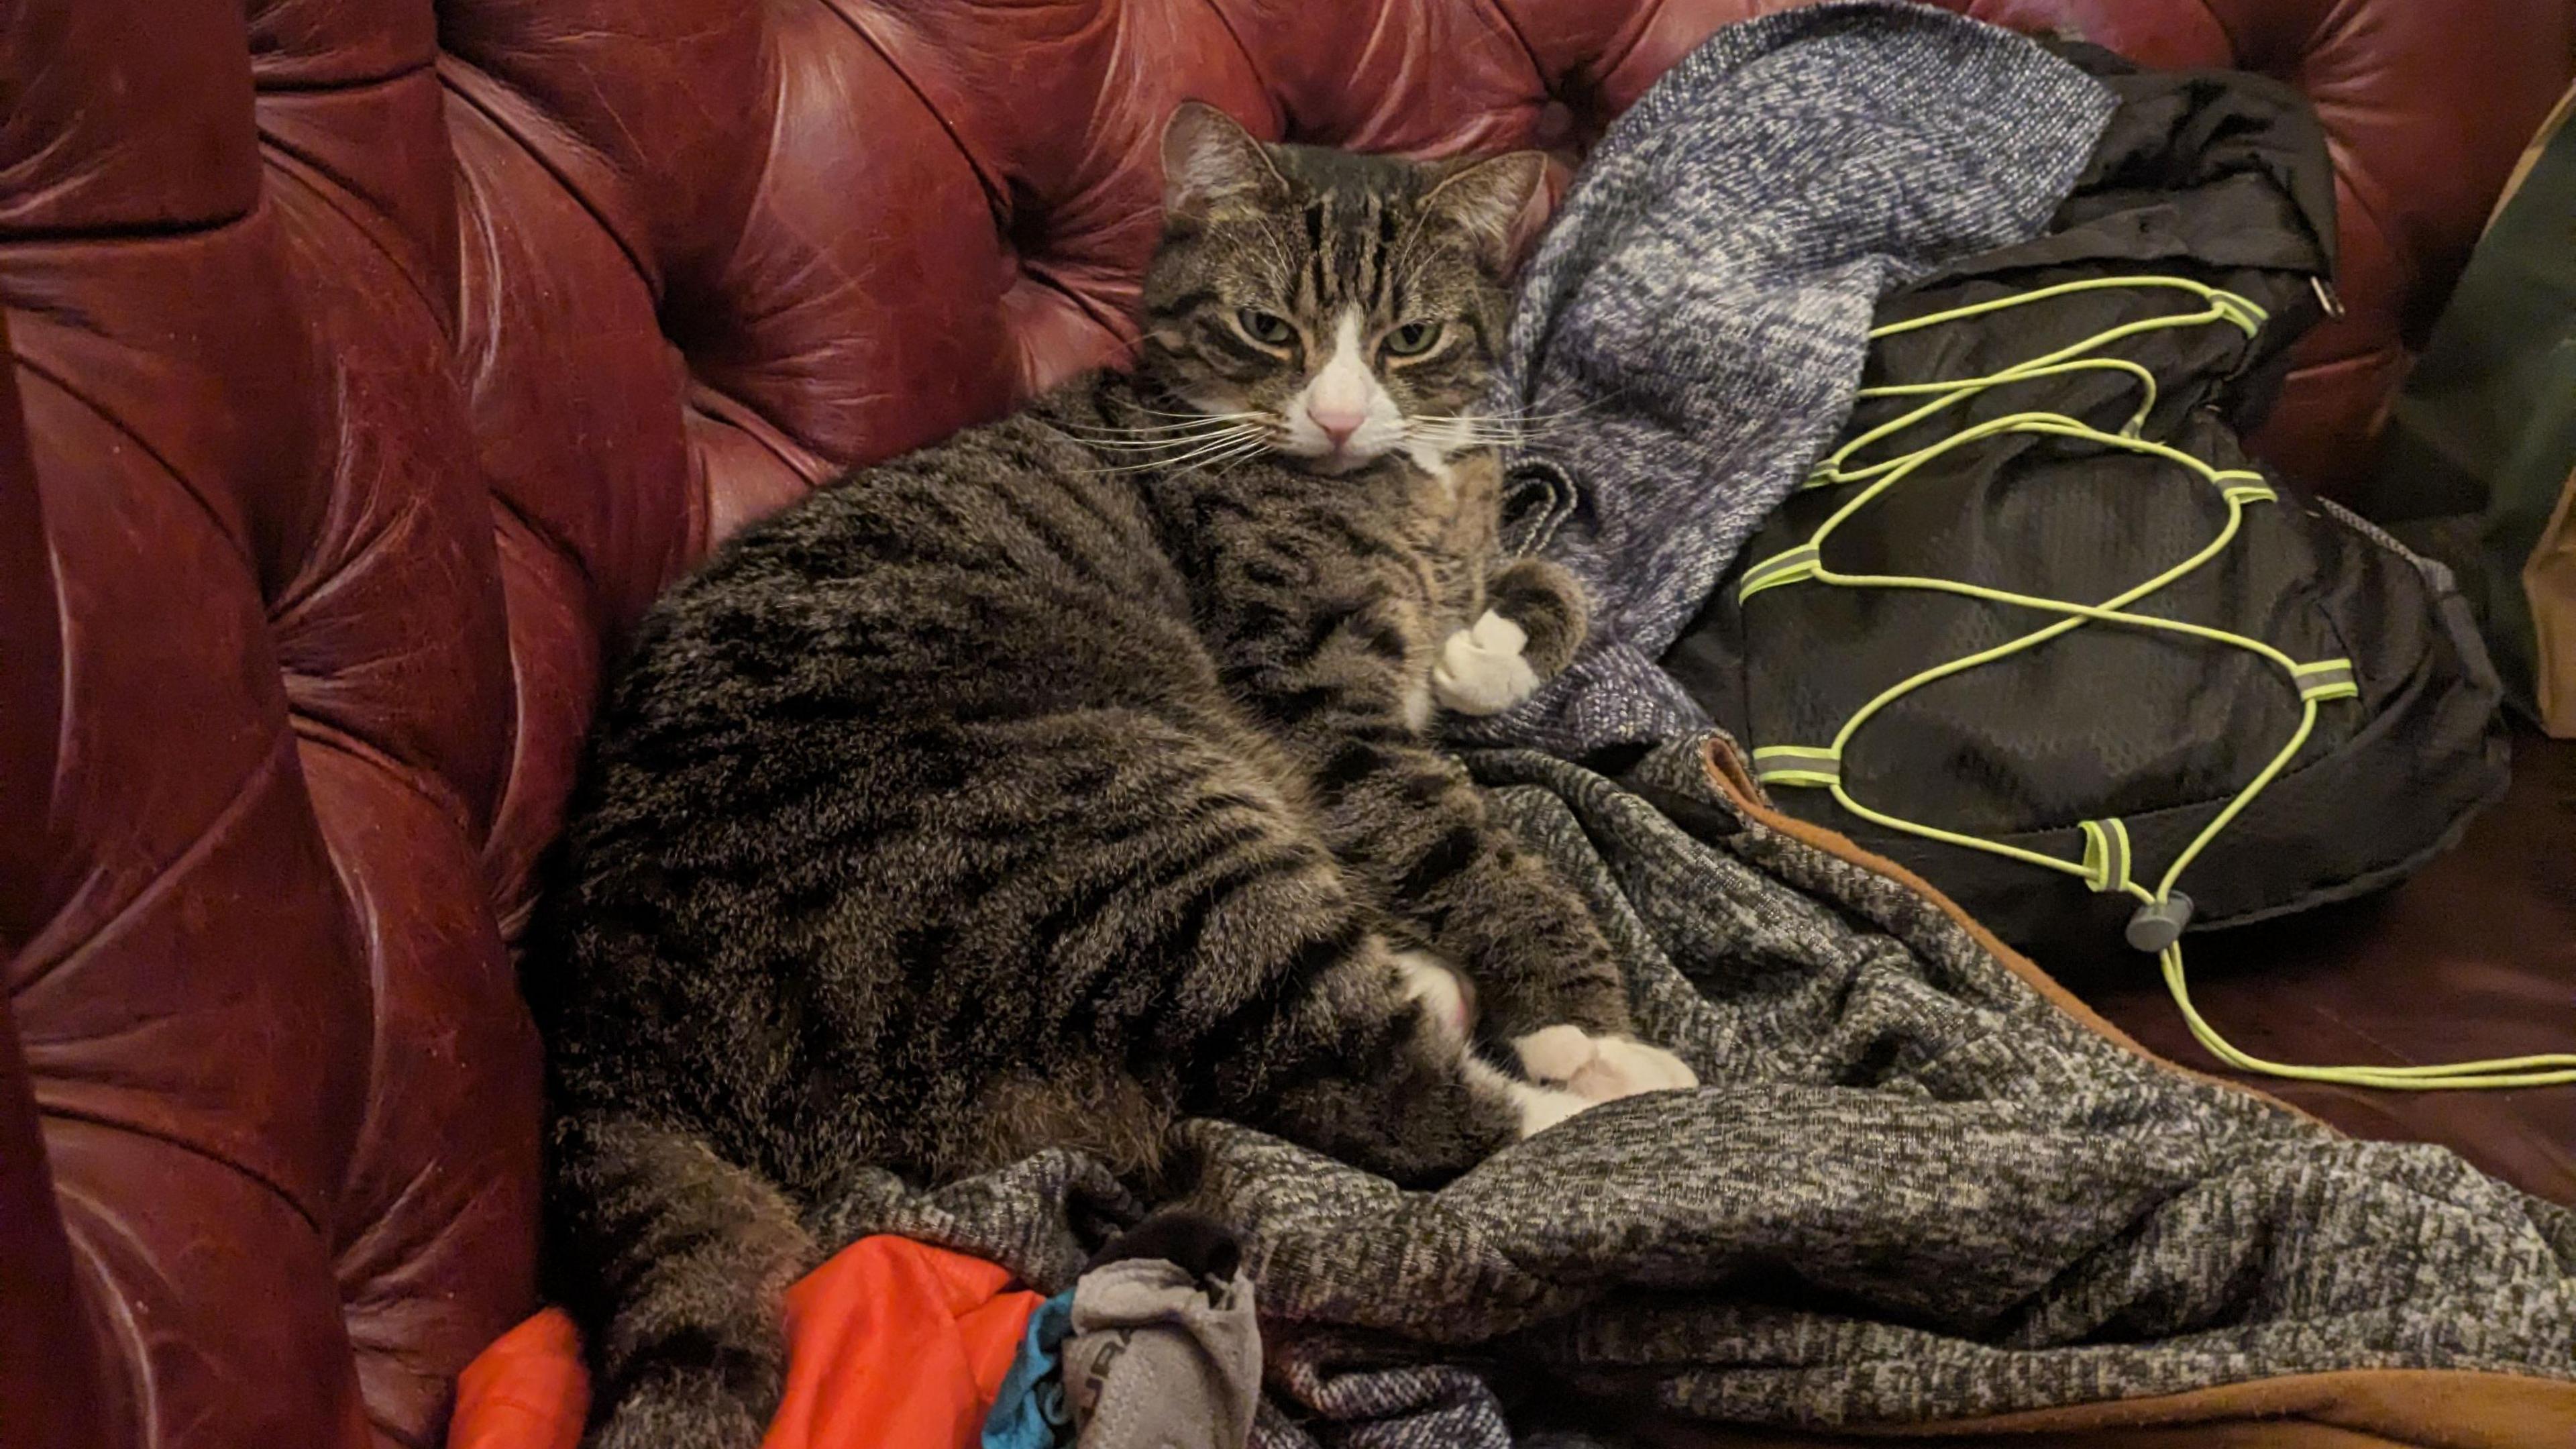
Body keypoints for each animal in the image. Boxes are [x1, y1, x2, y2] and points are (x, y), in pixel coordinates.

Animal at [533, 104, 1700, 1444]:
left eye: (1411, 338)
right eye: (1269, 329)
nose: (1339, 416)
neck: (1392, 490)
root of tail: (610, 1032)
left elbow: (1555, 584)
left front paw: (1487, 646)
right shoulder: (1317, 706)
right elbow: (1471, 850)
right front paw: (1579, 1014)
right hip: (1145, 830)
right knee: (1384, 1093)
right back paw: (1625, 1086)